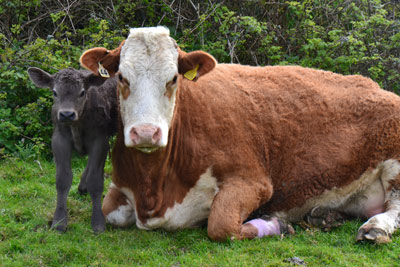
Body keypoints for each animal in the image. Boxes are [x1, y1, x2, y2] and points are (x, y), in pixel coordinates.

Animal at [79, 26, 400, 243]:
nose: (146, 133)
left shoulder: (253, 181)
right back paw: (325, 216)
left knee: (394, 206)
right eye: (122, 78)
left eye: (172, 79)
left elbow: (220, 225)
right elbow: (109, 213)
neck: (154, 190)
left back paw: (375, 227)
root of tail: (376, 86)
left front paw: (275, 225)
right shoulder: (121, 184)